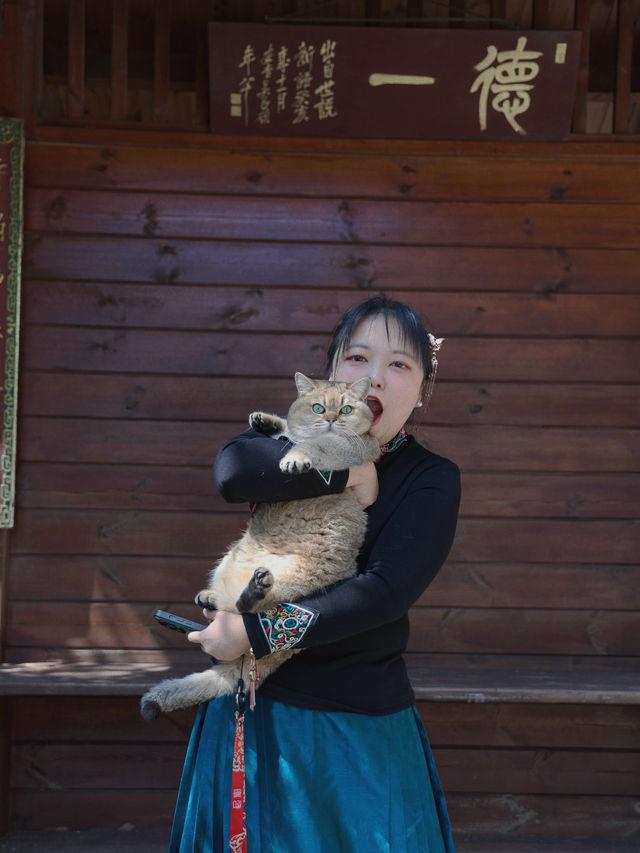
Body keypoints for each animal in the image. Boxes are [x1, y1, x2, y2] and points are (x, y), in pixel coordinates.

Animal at [141, 372, 380, 720]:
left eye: (347, 409)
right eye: (318, 407)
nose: (333, 419)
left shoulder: (354, 446)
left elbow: (314, 444)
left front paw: (296, 456)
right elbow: (289, 430)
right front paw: (267, 421)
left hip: (297, 578)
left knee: (249, 610)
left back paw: (254, 588)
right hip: (229, 558)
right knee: (231, 606)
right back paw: (210, 597)